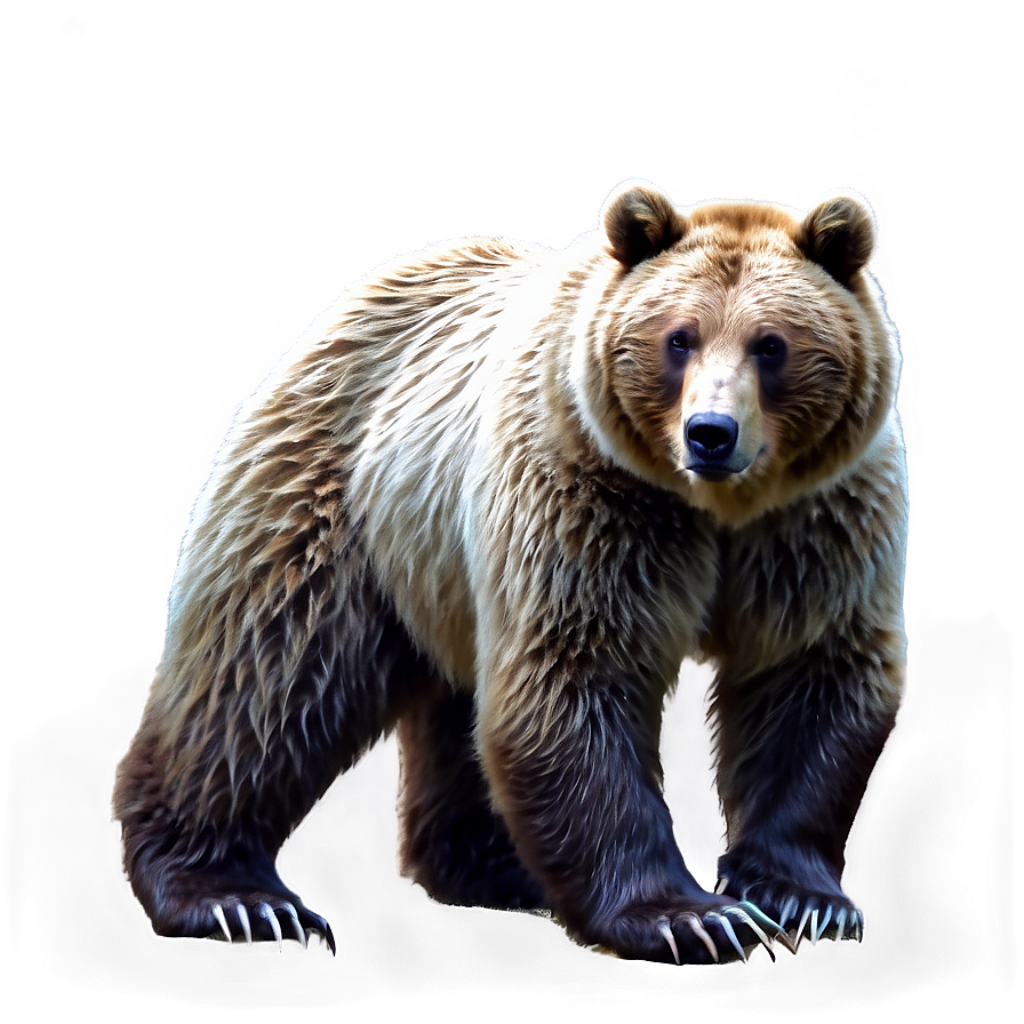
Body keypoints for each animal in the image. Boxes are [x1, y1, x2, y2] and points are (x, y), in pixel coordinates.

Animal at [112, 179, 908, 965]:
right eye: (678, 338)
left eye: (771, 345)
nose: (710, 433)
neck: (714, 507)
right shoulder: (591, 492)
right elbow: (576, 672)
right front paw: (691, 917)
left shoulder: (815, 523)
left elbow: (808, 676)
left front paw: (805, 900)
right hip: (336, 494)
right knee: (266, 675)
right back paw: (237, 897)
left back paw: (491, 869)